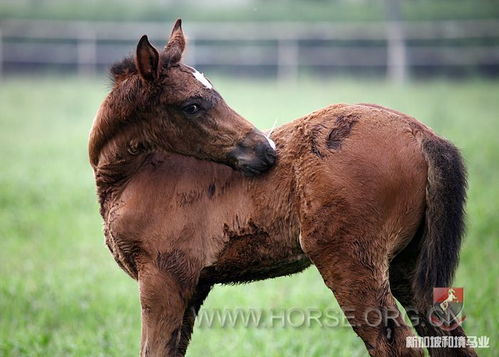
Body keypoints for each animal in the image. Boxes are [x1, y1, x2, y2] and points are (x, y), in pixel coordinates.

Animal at [89, 19, 476, 356]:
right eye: (192, 105)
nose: (265, 150)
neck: (137, 174)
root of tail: (421, 133)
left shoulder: (164, 278)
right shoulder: (193, 287)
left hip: (353, 262)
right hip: (408, 266)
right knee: (447, 335)